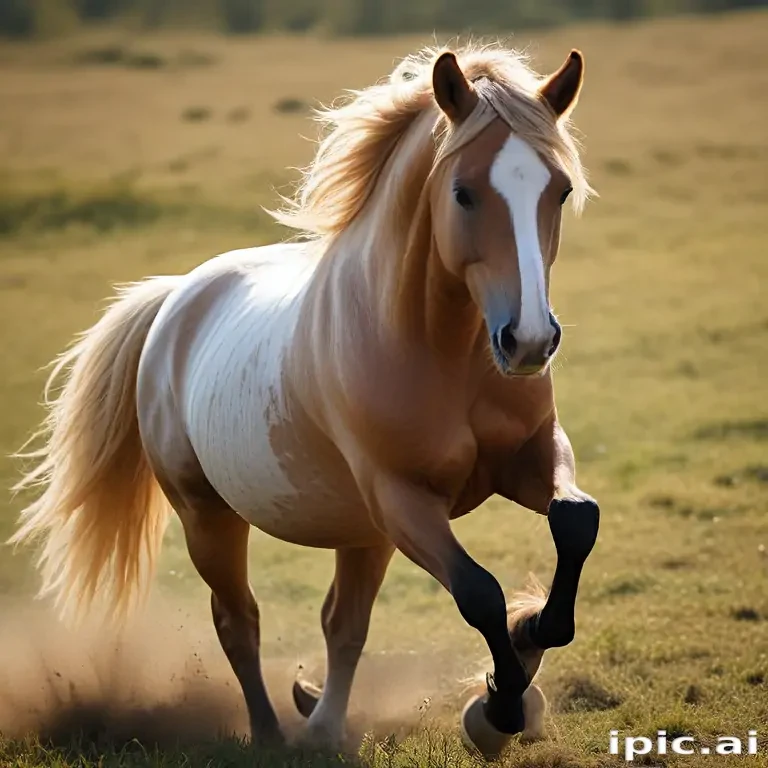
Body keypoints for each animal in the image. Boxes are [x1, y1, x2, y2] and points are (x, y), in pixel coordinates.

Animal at [11, 42, 600, 759]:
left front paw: (525, 641)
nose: (529, 341)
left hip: (362, 534)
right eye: (463, 192)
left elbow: (576, 523)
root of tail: (175, 300)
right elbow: (479, 594)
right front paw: (498, 707)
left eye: (559, 190)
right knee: (238, 621)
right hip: (210, 517)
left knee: (342, 622)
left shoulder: (530, 458)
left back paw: (320, 721)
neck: (439, 349)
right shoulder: (404, 498)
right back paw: (272, 733)